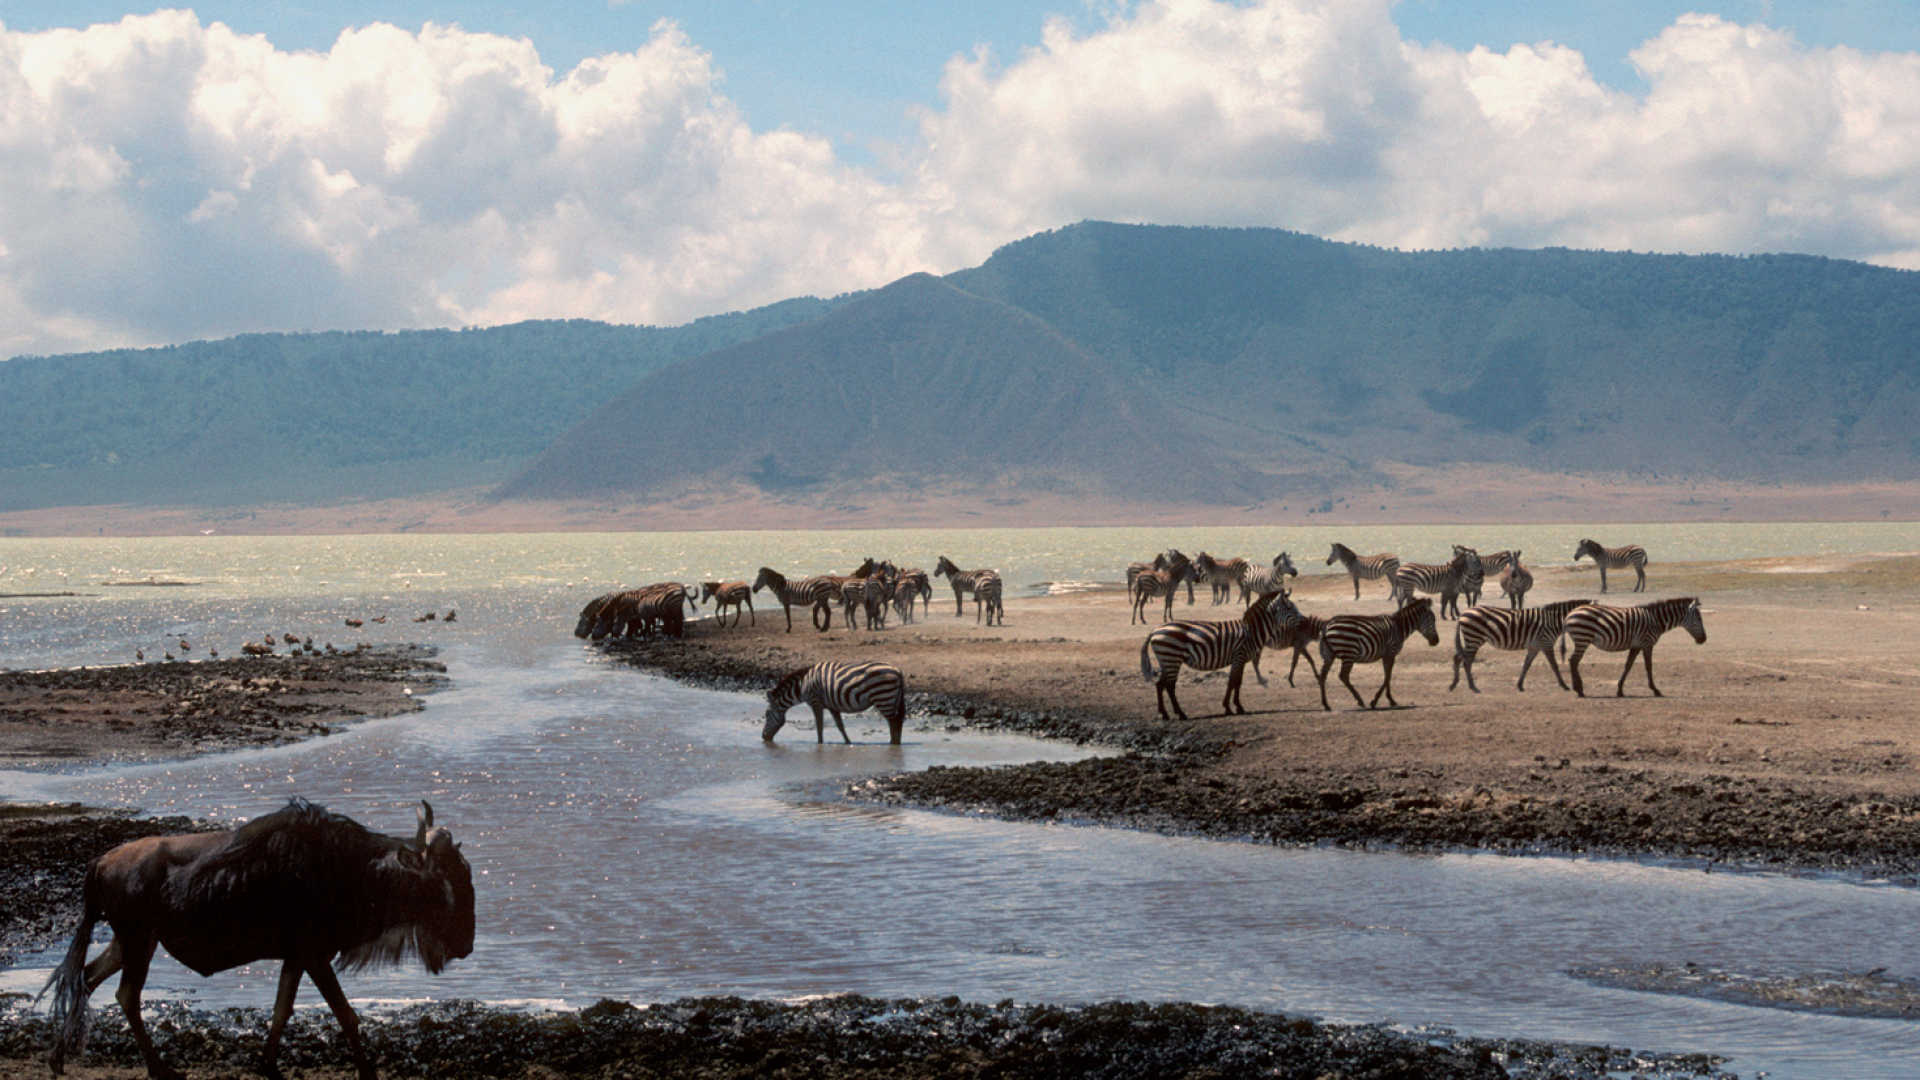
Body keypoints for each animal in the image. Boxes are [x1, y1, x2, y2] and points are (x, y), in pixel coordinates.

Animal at [756, 657, 906, 737]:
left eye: (767, 714)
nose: (763, 737)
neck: (803, 685)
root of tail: (898, 671)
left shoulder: (815, 702)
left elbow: (819, 727)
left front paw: (820, 745)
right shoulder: (832, 705)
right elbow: (840, 726)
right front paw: (847, 742)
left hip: (883, 697)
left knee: (894, 723)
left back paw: (892, 745)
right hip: (892, 699)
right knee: (898, 722)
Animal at [1136, 584, 1305, 718]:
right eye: (1289, 607)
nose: (1304, 622)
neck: (1251, 631)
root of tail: (1155, 630)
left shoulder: (1240, 660)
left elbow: (1236, 682)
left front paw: (1233, 707)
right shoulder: (1239, 656)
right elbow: (1233, 682)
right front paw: (1233, 707)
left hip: (1167, 661)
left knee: (1160, 684)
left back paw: (1164, 714)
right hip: (1172, 658)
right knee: (1170, 686)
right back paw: (1181, 714)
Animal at [1451, 595, 1589, 687]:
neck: (1552, 621)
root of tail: (1463, 614)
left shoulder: (1535, 646)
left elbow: (1526, 664)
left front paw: (1520, 684)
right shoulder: (1546, 642)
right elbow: (1554, 665)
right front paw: (1564, 685)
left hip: (1472, 639)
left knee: (1458, 657)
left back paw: (1454, 684)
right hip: (1474, 638)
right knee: (1466, 661)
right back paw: (1471, 686)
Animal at [1559, 591, 1712, 691]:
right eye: (1699, 619)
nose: (1703, 639)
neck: (1656, 621)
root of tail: (1568, 615)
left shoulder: (1636, 645)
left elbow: (1628, 665)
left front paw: (1620, 689)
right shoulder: (1647, 643)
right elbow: (1648, 666)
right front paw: (1655, 689)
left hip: (1581, 639)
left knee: (1573, 661)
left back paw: (1577, 688)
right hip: (1583, 638)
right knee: (1573, 661)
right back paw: (1579, 689)